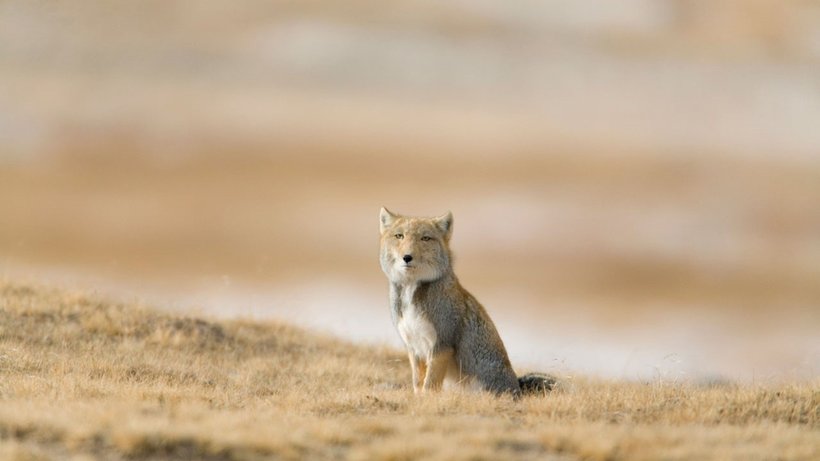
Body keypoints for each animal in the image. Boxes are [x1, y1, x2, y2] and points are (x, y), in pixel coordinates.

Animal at [382, 208, 556, 396]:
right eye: (399, 236)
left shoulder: (441, 345)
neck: (411, 292)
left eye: (425, 238)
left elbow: (430, 385)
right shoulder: (414, 348)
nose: (407, 257)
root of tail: (517, 389)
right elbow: (418, 383)